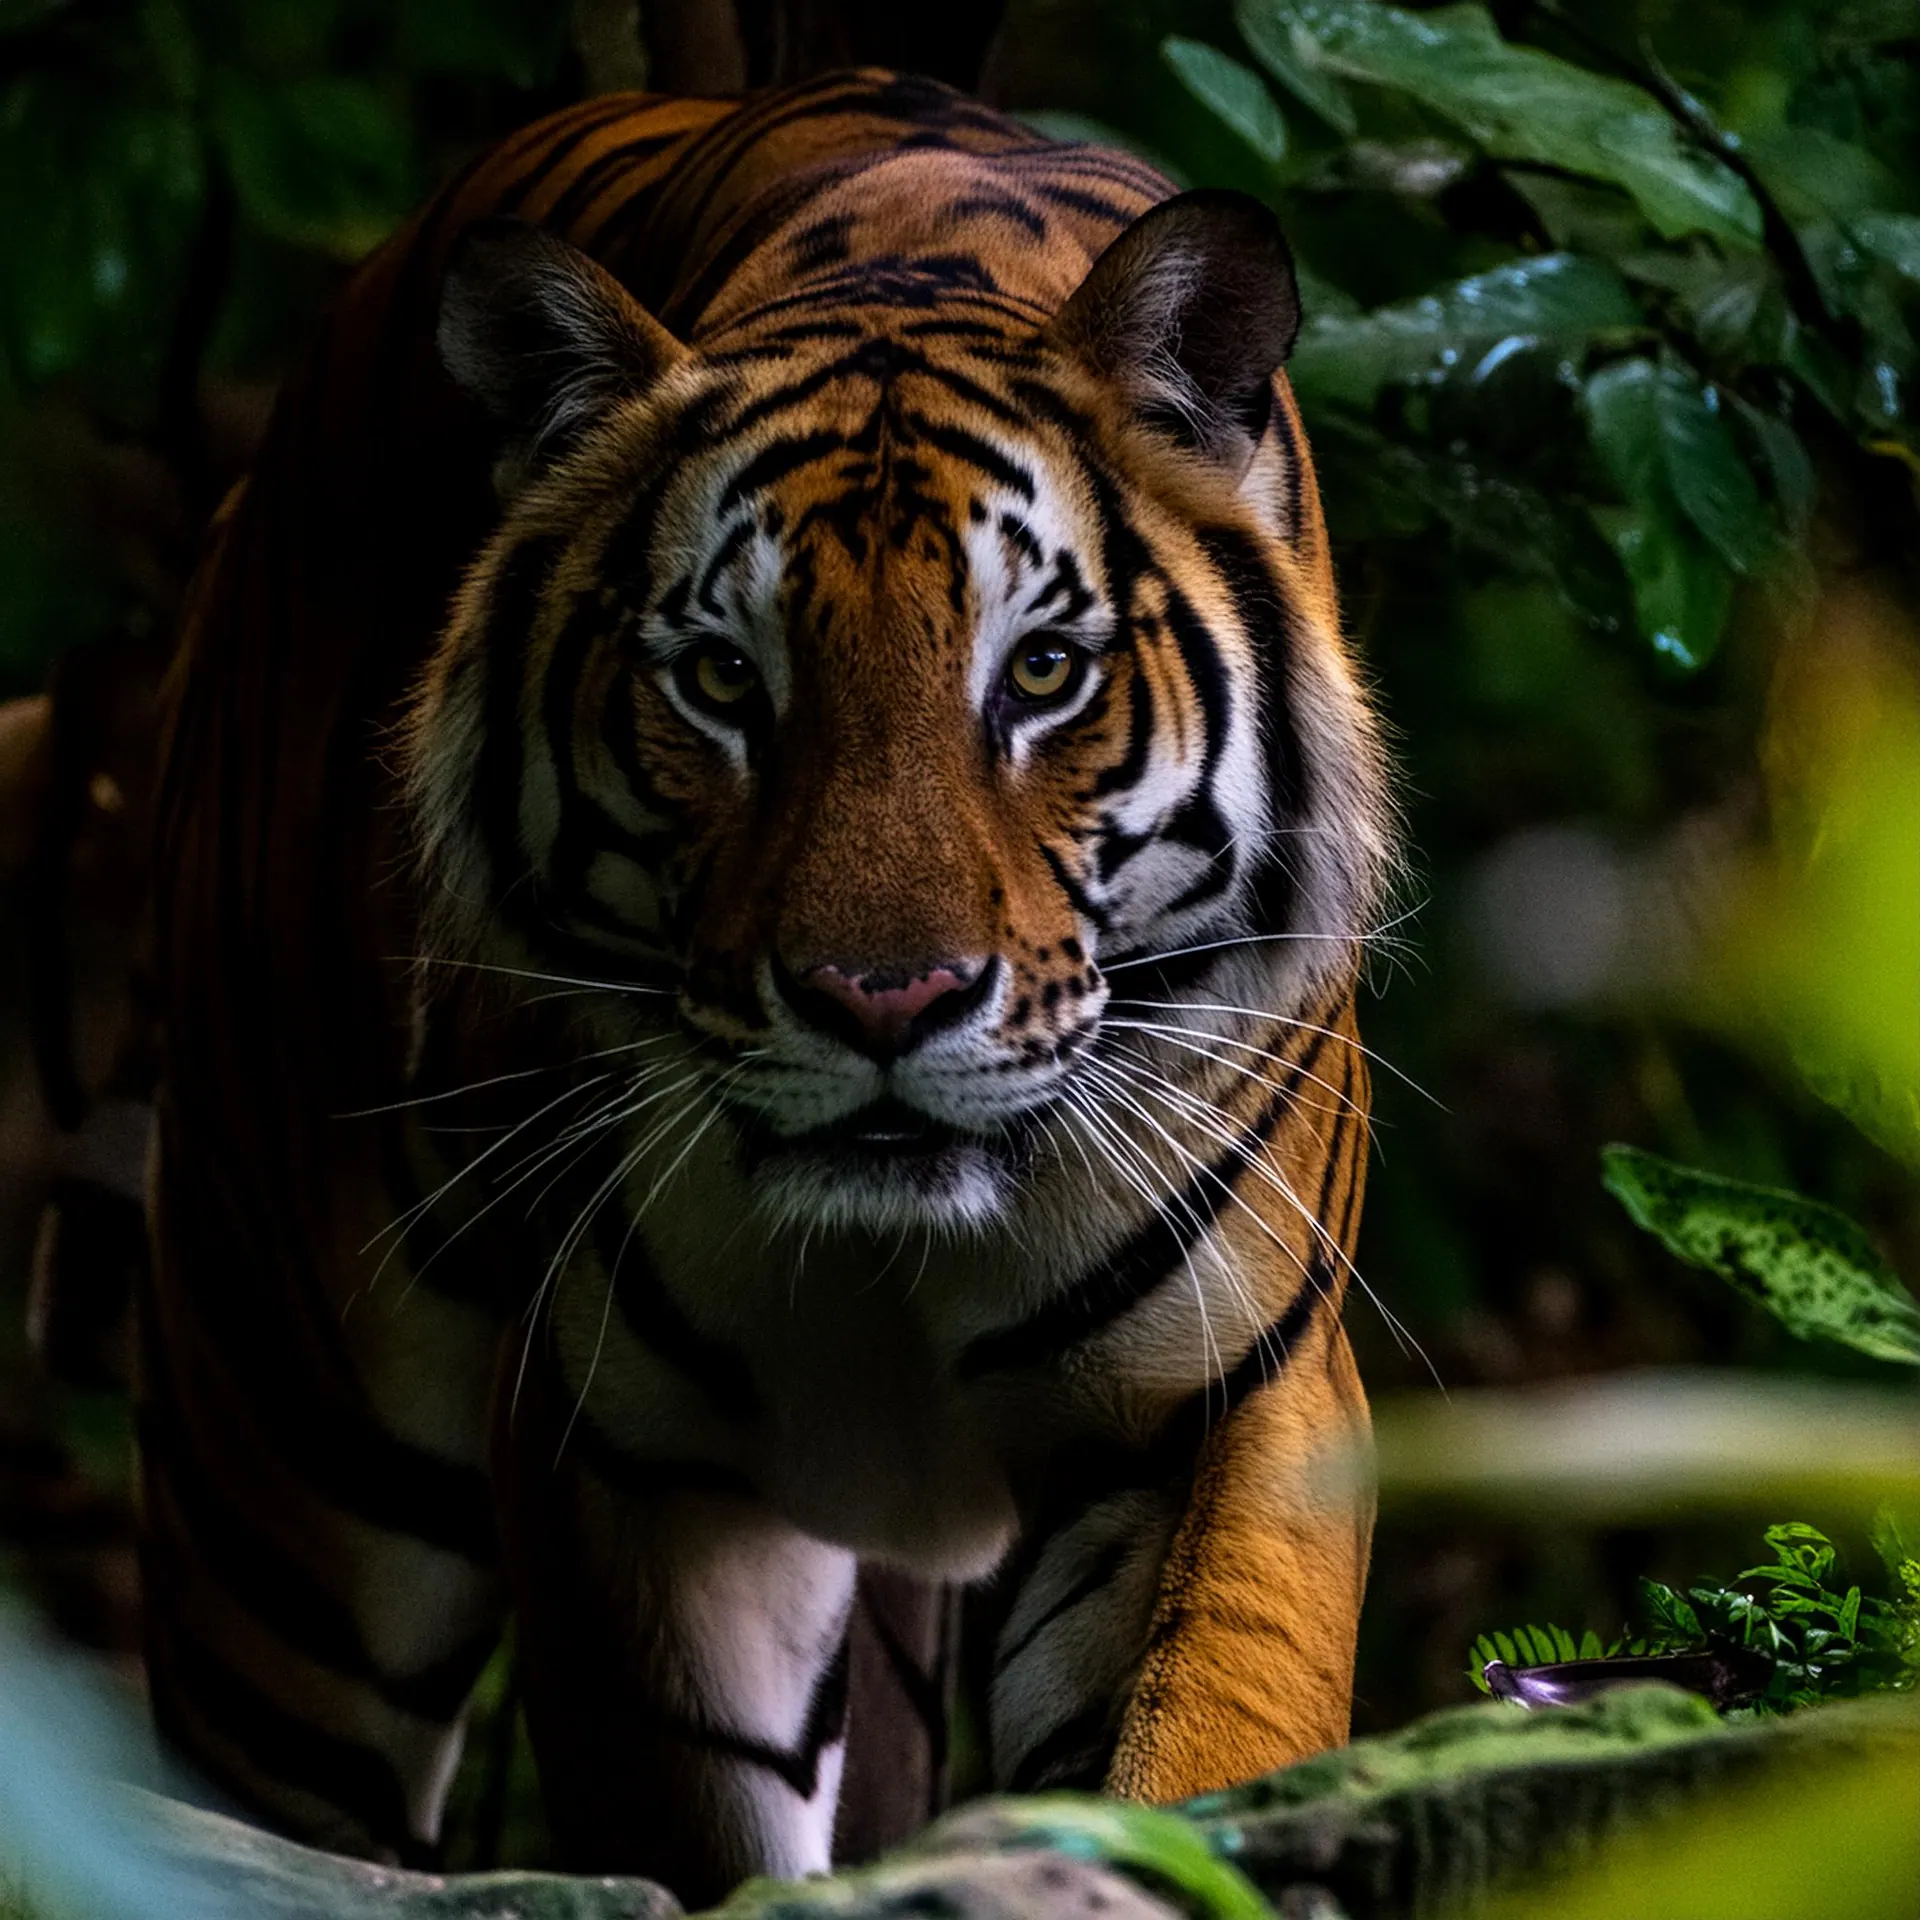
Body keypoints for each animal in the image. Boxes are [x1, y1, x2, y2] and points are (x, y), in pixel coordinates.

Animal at [142, 68, 1394, 1905]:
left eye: (1042, 671)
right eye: (725, 680)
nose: (885, 1003)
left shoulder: (1226, 1406)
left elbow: (1197, 1754)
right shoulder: (612, 1456)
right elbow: (697, 1827)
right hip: (288, 1479)